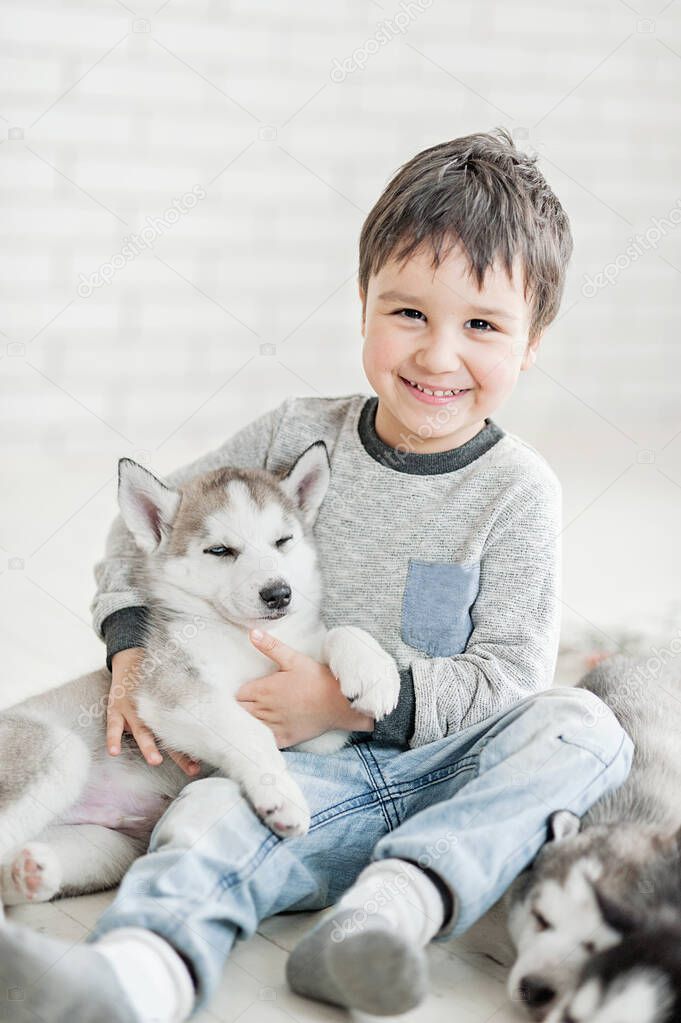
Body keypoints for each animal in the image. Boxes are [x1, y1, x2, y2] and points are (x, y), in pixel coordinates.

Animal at [0, 443, 398, 908]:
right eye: (221, 551)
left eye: (283, 541)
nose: (279, 594)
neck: (244, 638)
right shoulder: (170, 691)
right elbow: (249, 732)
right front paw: (279, 796)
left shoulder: (316, 733)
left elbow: (337, 636)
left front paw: (374, 672)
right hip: (56, 752)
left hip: (103, 848)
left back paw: (30, 872)